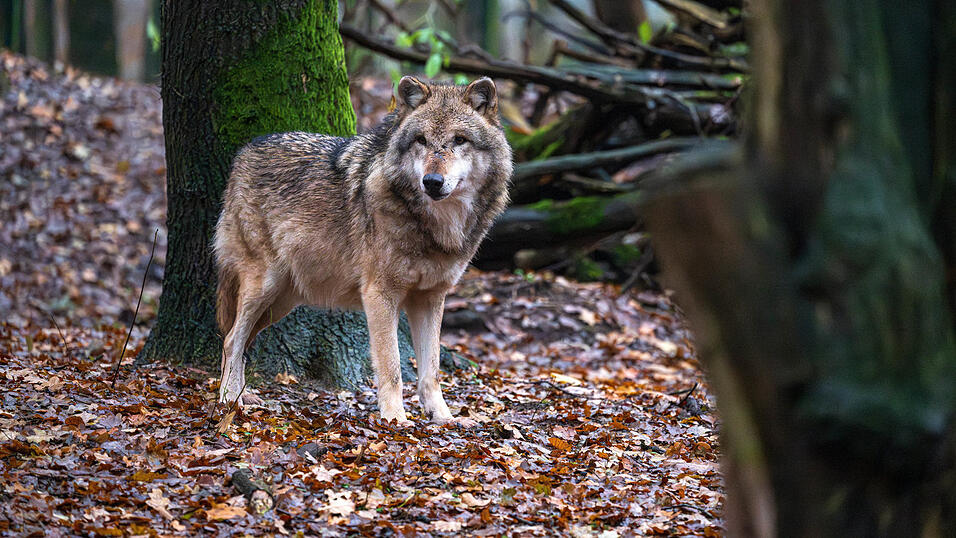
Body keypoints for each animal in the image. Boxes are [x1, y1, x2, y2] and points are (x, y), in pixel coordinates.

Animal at [213, 76, 512, 424]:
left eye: (460, 140)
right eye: (421, 140)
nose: (432, 181)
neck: (435, 225)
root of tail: (245, 151)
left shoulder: (430, 298)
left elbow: (431, 371)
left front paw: (443, 417)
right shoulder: (379, 294)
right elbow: (392, 367)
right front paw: (396, 419)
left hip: (281, 301)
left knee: (240, 341)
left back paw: (241, 397)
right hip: (264, 285)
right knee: (231, 340)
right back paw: (229, 401)